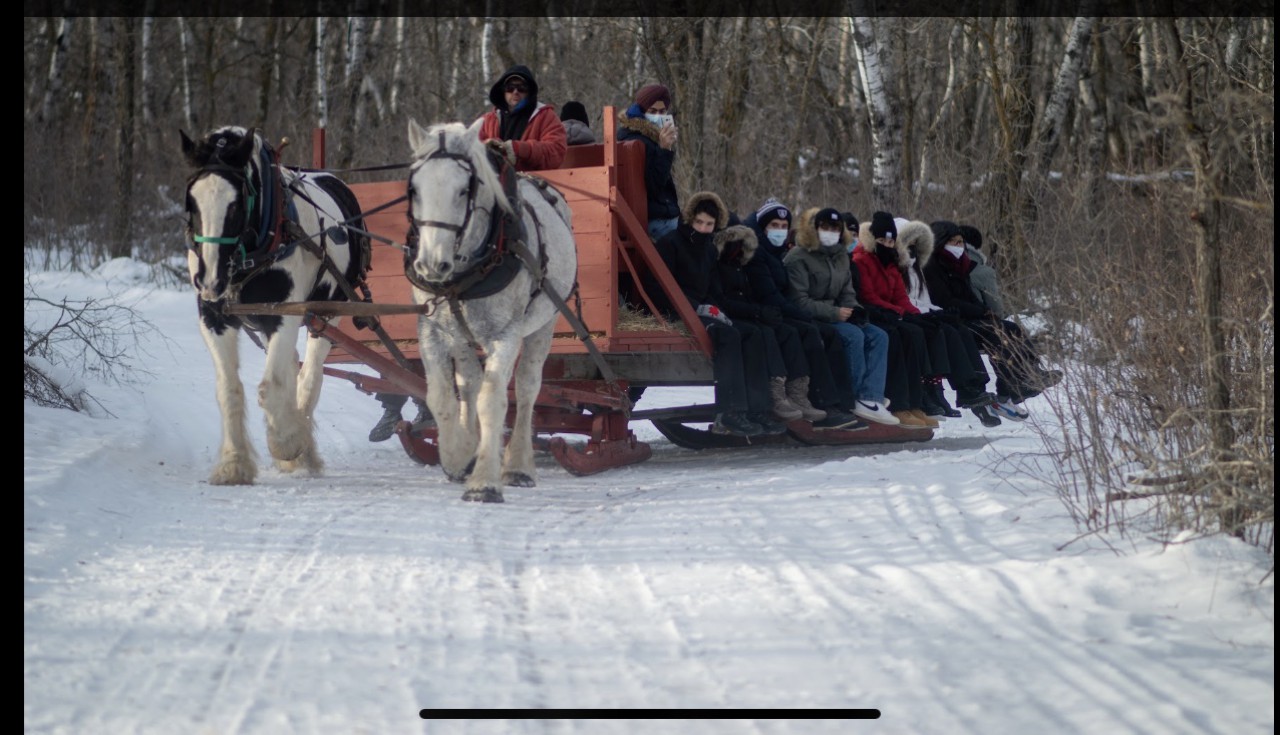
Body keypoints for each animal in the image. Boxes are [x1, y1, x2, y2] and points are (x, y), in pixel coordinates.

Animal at [180, 126, 370, 485]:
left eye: (236, 204)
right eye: (191, 202)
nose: (210, 281)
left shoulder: (283, 314)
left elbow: (272, 387)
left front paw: (286, 442)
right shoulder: (213, 317)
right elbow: (229, 388)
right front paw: (233, 464)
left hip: (328, 314)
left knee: (310, 376)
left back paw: (302, 449)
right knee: (294, 367)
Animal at [404, 118, 577, 503]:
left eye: (464, 190)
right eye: (415, 189)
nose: (432, 264)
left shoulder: (505, 334)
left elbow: (493, 399)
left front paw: (484, 481)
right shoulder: (432, 328)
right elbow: (441, 396)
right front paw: (458, 453)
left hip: (544, 324)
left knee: (526, 387)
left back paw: (518, 465)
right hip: (464, 335)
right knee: (468, 382)